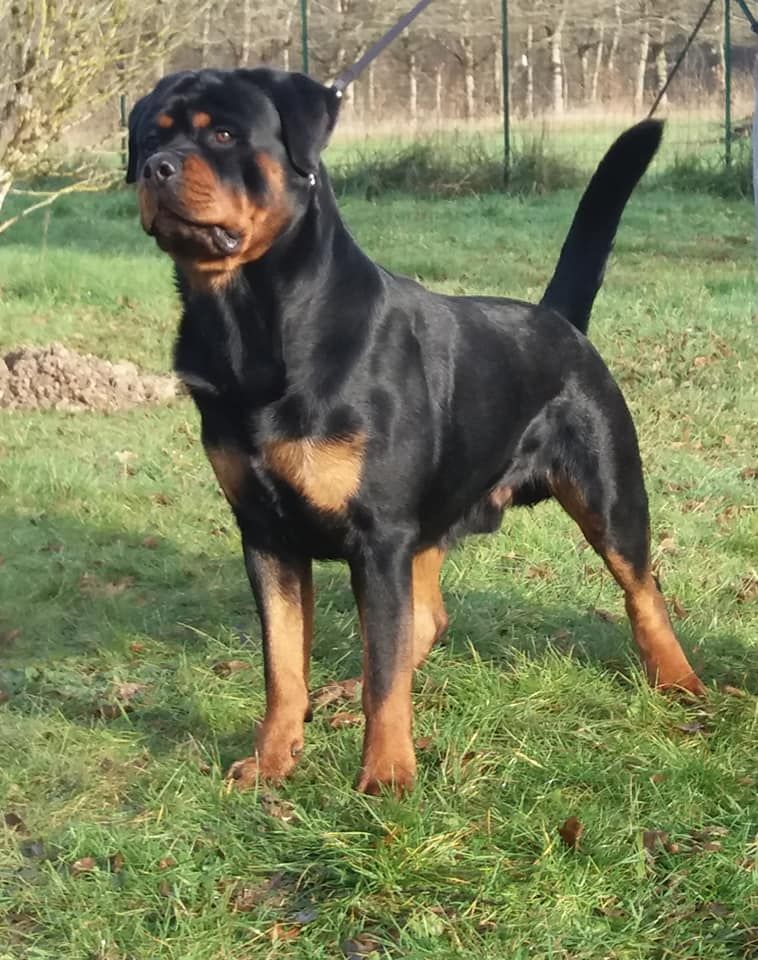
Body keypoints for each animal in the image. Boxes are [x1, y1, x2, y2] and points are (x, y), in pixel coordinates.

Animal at [126, 68, 704, 795]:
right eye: (151, 136)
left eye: (225, 134)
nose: (158, 167)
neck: (249, 325)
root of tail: (558, 319)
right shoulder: (267, 536)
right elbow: (283, 666)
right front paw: (272, 760)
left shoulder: (378, 536)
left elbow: (383, 666)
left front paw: (386, 776)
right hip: (433, 517)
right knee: (425, 620)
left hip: (608, 489)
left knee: (642, 588)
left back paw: (680, 682)